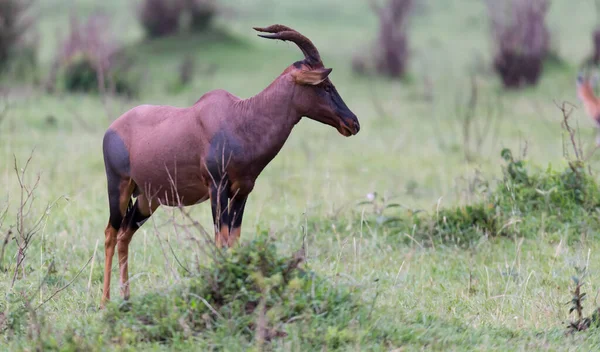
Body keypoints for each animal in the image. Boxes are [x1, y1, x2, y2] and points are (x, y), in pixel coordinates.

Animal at [102, 24, 360, 306]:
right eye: (325, 85)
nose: (353, 123)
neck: (241, 118)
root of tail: (112, 128)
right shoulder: (217, 188)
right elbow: (220, 239)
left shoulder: (242, 191)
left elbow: (234, 240)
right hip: (119, 188)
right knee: (110, 234)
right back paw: (104, 302)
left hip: (148, 199)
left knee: (125, 235)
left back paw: (126, 298)